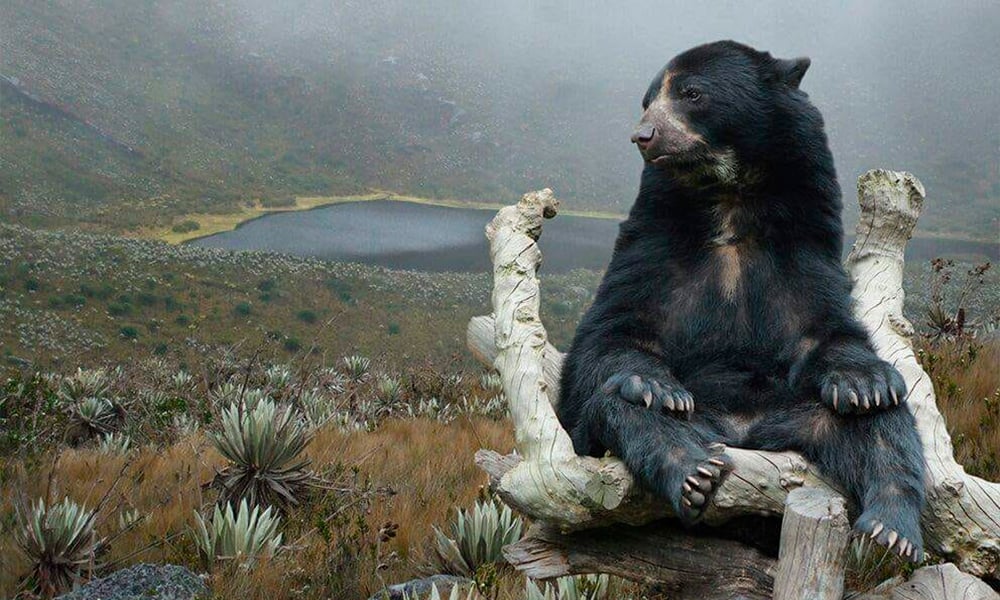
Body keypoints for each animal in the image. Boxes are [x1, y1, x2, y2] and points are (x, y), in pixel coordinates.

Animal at [557, 40, 926, 561]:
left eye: (691, 93)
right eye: (647, 100)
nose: (644, 135)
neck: (728, 196)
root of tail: (742, 431)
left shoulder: (803, 241)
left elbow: (824, 328)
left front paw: (863, 382)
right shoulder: (653, 240)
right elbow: (613, 333)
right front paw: (657, 385)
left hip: (798, 412)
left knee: (883, 428)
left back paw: (891, 529)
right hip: (682, 415)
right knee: (625, 409)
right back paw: (692, 469)